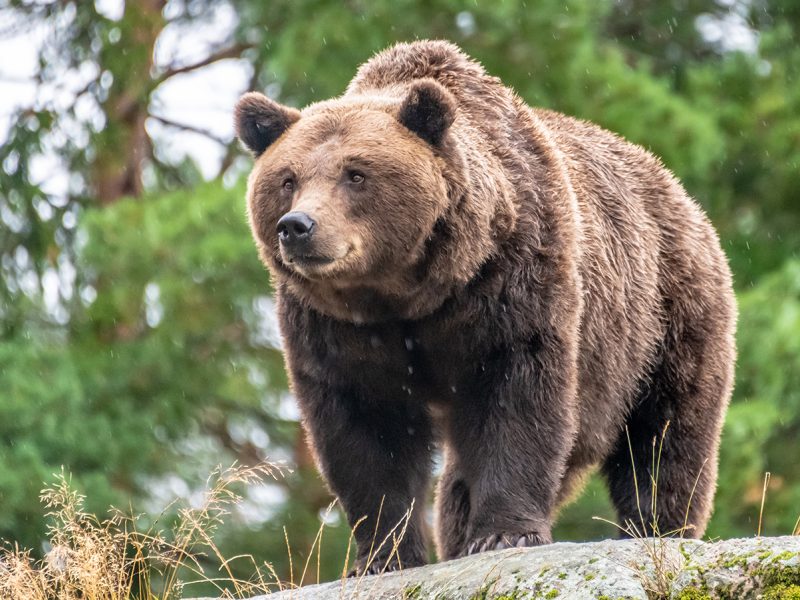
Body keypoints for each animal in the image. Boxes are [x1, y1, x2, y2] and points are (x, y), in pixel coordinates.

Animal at [233, 39, 736, 576]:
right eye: (288, 179)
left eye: (356, 173)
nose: (297, 226)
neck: (408, 293)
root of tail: (675, 188)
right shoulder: (335, 329)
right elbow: (365, 429)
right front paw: (382, 557)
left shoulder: (513, 284)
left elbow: (518, 399)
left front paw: (504, 534)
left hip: (663, 316)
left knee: (666, 433)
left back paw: (656, 529)